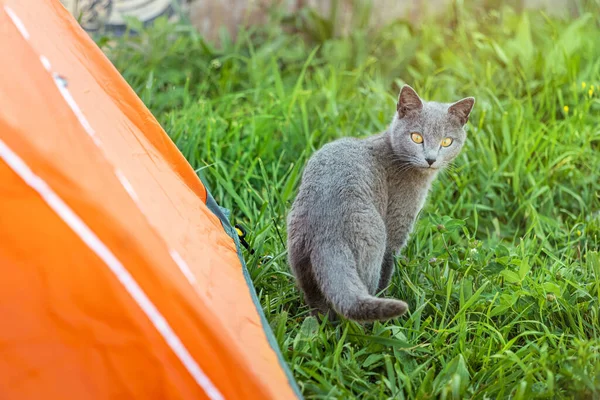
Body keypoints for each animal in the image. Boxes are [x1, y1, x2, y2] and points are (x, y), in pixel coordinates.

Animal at [286, 85, 474, 322]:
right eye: (416, 137)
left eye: (446, 142)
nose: (430, 159)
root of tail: (327, 235)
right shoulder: (396, 226)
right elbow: (388, 266)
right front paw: (386, 296)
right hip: (371, 247)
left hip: (300, 257)